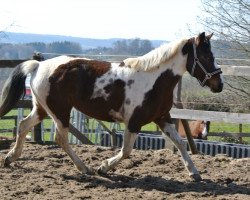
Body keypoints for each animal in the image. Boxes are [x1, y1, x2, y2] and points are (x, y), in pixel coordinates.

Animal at [0, 32, 223, 181]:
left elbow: (181, 143)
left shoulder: (163, 118)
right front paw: (103, 167)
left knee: (23, 125)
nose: (219, 85)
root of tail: (38, 65)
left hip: (42, 109)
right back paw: (85, 169)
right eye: (206, 57)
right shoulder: (133, 122)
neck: (154, 79)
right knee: (60, 138)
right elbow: (126, 151)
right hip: (59, 111)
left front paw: (195, 173)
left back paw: (10, 158)